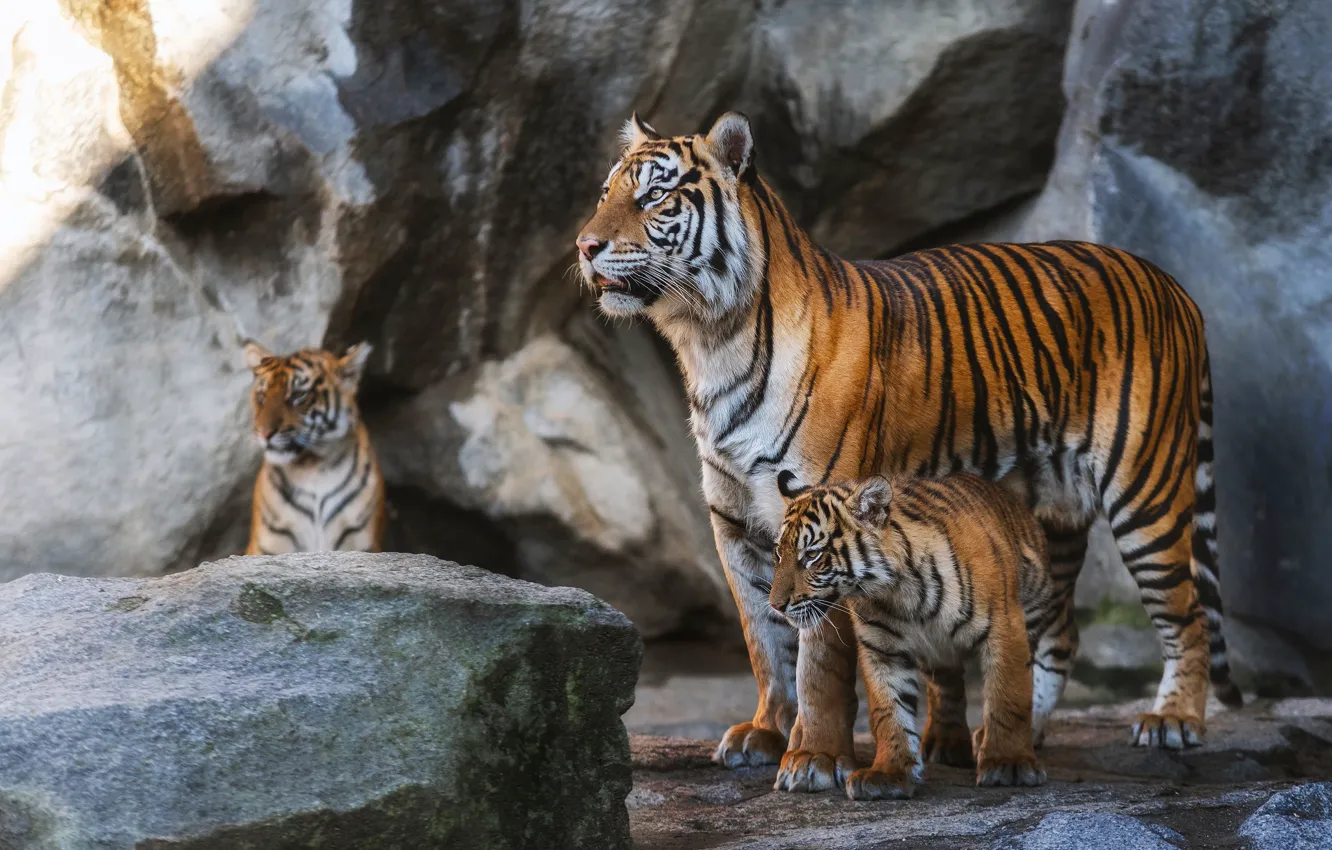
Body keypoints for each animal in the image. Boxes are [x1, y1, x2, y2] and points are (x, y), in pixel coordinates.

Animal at [242, 341, 386, 555]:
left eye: (298, 395)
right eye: (262, 396)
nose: (264, 433)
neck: (313, 467)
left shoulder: (361, 543)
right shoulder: (267, 546)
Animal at [773, 471, 1069, 798]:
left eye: (812, 555)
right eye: (779, 553)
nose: (776, 605)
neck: (898, 592)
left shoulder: (1004, 629)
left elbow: (1008, 698)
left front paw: (1009, 763)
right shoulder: (882, 648)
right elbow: (889, 710)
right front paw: (889, 773)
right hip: (938, 654)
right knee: (947, 686)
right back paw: (949, 743)